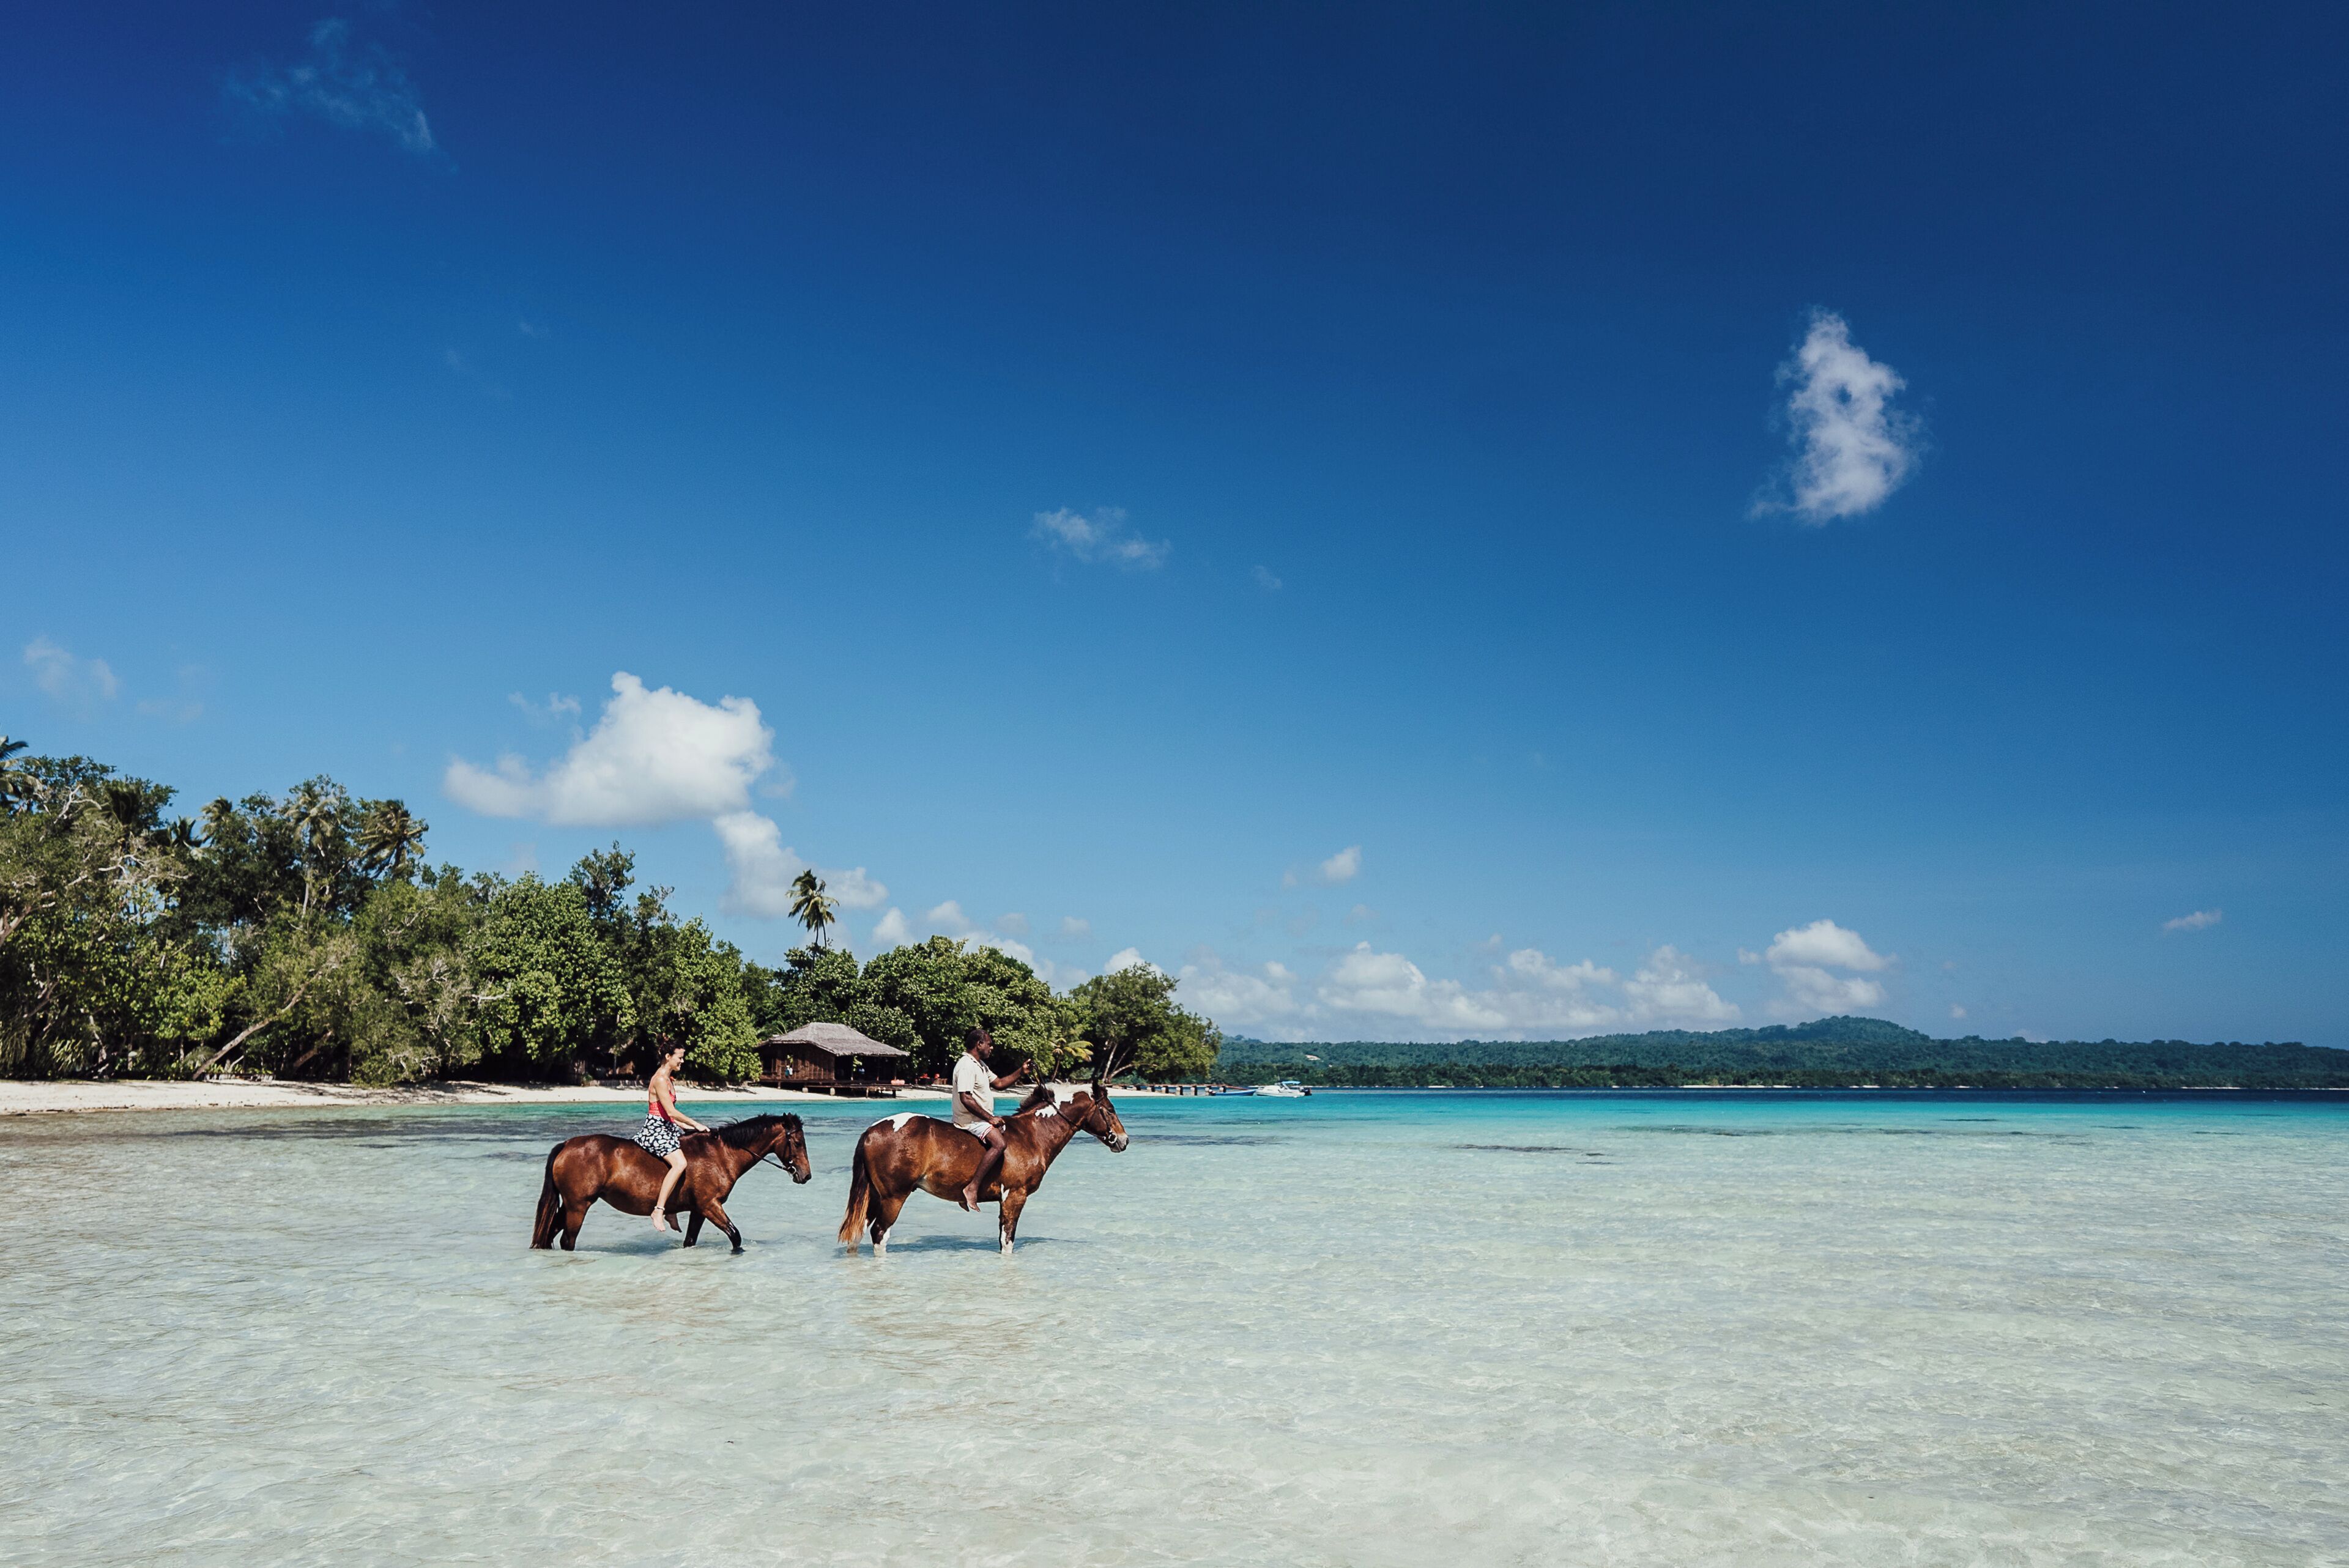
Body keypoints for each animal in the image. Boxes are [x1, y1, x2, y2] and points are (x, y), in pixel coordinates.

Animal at [530, 1113, 811, 1253]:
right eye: (797, 1142)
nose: (806, 1175)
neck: (721, 1154)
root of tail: (567, 1144)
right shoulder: (711, 1205)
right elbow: (736, 1237)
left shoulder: (699, 1210)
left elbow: (690, 1242)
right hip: (578, 1207)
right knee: (567, 1242)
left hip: (569, 1206)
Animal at [837, 1070, 1129, 1256]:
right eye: (1110, 1109)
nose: (1124, 1141)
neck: (1032, 1134)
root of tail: (872, 1130)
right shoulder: (1015, 1196)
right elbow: (1008, 1242)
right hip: (893, 1198)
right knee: (879, 1235)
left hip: (875, 1197)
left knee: (858, 1233)